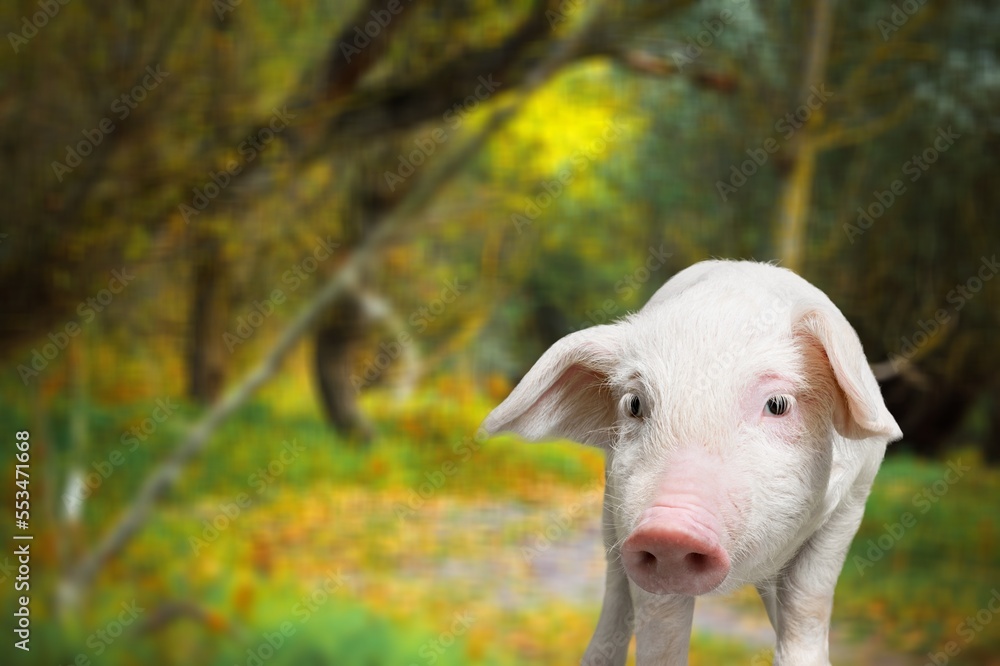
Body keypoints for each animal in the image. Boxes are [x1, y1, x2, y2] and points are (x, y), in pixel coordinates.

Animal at [480, 260, 904, 664]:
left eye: (778, 404)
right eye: (634, 404)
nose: (670, 529)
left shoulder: (852, 502)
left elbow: (807, 605)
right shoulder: (630, 518)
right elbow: (661, 632)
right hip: (611, 512)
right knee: (615, 590)